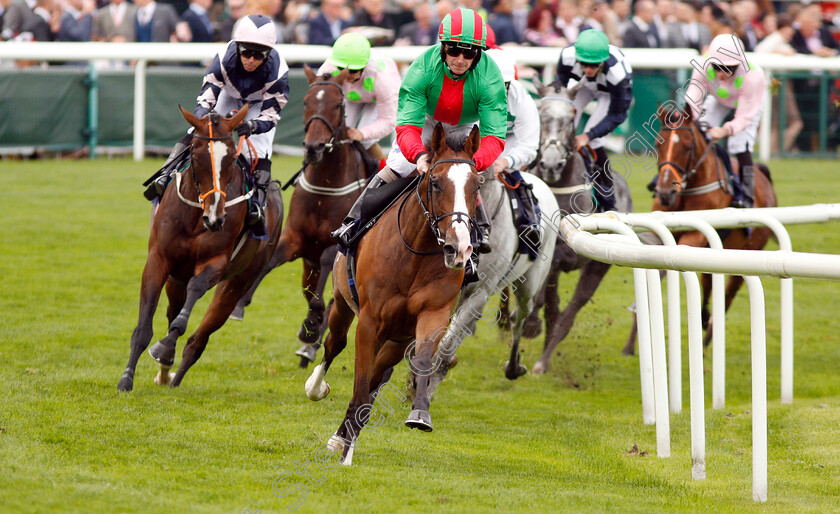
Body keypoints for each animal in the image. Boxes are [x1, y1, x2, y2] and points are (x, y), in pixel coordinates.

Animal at [116, 106, 284, 390]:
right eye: (195, 155)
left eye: (232, 158)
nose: (215, 217)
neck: (197, 216)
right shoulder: (158, 260)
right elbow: (144, 328)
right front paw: (126, 379)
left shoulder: (215, 262)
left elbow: (195, 293)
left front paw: (164, 347)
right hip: (175, 279)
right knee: (172, 311)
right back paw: (165, 373)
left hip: (238, 282)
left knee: (198, 339)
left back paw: (173, 375)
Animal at [231, 66, 372, 364]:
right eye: (306, 102)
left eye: (337, 104)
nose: (313, 148)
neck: (325, 189)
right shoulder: (295, 238)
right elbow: (272, 260)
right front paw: (239, 303)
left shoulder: (334, 244)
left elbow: (323, 289)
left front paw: (311, 327)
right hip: (309, 266)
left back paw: (313, 339)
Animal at [306, 122, 482, 462]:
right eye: (435, 182)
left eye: (476, 186)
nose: (459, 248)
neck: (414, 254)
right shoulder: (369, 322)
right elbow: (360, 381)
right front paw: (345, 455)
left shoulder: (432, 315)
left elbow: (421, 360)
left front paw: (420, 414)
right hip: (343, 305)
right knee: (335, 344)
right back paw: (316, 389)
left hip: (395, 339)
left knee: (377, 373)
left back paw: (344, 434)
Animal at [620, 103, 776, 352]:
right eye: (657, 144)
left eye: (687, 146)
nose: (665, 192)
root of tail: (764, 177)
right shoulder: (660, 233)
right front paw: (633, 337)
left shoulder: (695, 235)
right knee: (709, 283)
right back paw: (703, 319)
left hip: (748, 251)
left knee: (728, 295)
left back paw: (707, 337)